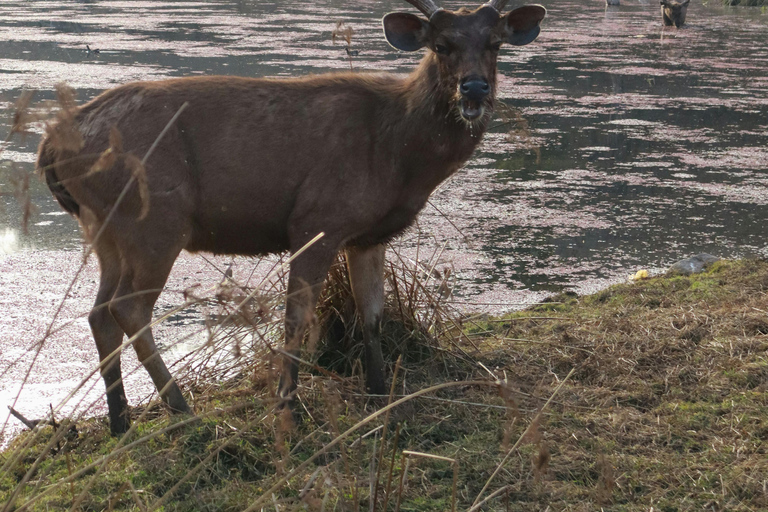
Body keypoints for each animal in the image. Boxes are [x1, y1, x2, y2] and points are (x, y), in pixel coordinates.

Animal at [37, 0, 544, 436]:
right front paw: (287, 406)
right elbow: (297, 319)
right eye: (440, 45)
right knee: (128, 308)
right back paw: (182, 411)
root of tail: (50, 146)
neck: (398, 156)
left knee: (99, 312)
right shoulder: (318, 218)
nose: (474, 88)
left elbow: (372, 317)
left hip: (103, 225)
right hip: (155, 219)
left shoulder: (368, 235)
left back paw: (121, 421)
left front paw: (380, 398)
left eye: (494, 43)